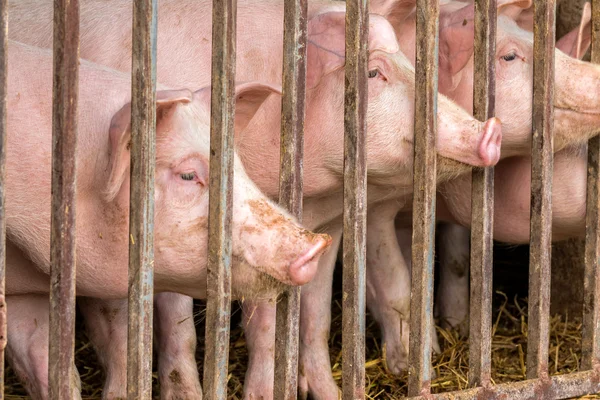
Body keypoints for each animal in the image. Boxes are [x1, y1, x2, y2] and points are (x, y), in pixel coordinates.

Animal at [364, 0, 596, 376]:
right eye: (509, 56)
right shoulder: (370, 199)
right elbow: (392, 275)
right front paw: (418, 364)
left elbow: (457, 259)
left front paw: (457, 326)